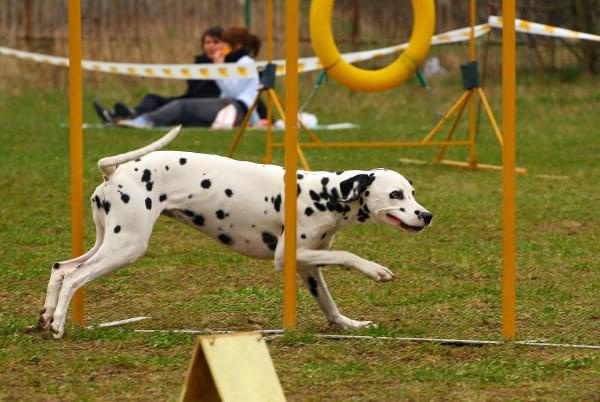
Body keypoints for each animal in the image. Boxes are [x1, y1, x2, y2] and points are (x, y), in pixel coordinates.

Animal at [36, 126, 432, 340]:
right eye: (396, 195)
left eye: (413, 191)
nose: (426, 216)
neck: (325, 193)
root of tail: (115, 172)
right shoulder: (290, 256)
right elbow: (348, 256)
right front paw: (375, 270)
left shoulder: (308, 267)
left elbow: (329, 305)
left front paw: (350, 324)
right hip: (126, 246)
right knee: (75, 276)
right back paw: (58, 325)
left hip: (110, 242)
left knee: (60, 268)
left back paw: (45, 317)